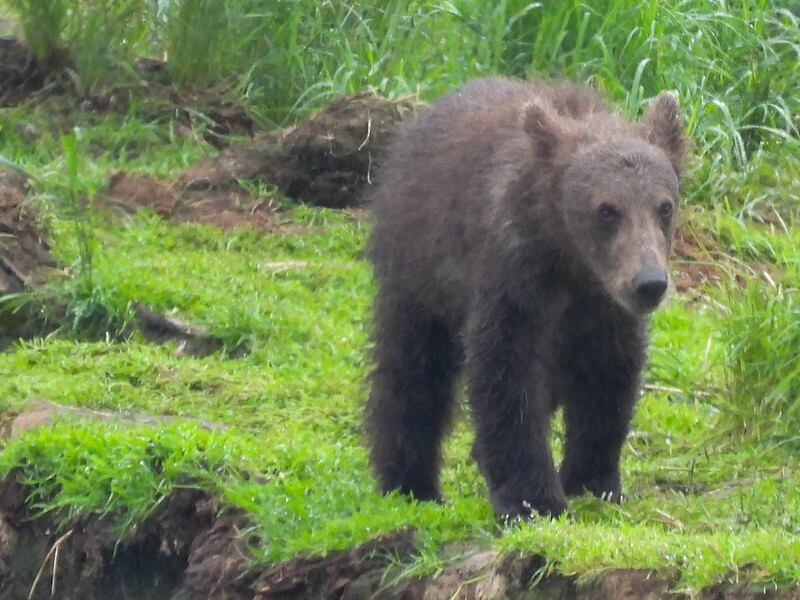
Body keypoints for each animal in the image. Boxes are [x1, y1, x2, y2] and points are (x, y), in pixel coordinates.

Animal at [364, 76, 686, 518]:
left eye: (664, 207)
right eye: (607, 210)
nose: (649, 282)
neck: (572, 262)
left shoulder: (603, 309)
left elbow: (609, 375)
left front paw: (594, 477)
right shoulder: (515, 279)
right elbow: (506, 375)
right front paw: (532, 497)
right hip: (417, 271)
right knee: (412, 372)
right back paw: (410, 481)